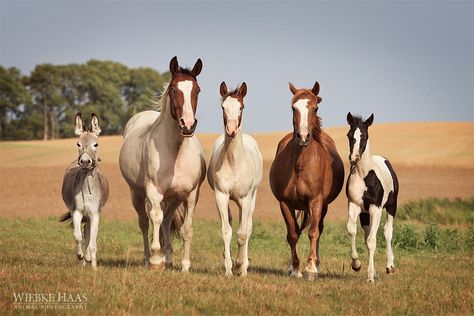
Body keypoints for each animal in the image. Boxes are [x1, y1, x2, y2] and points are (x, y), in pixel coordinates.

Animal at [119, 56, 205, 272]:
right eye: (173, 89)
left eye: (197, 90)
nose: (188, 125)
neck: (176, 152)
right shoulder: (153, 191)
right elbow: (155, 218)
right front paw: (156, 261)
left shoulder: (191, 195)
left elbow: (186, 228)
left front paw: (185, 266)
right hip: (137, 194)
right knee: (145, 221)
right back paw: (148, 258)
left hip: (174, 198)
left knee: (166, 221)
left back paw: (169, 259)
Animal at [207, 82, 262, 276]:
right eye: (223, 107)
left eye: (241, 106)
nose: (231, 131)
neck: (234, 163)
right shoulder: (221, 195)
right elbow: (226, 231)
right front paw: (229, 269)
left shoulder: (245, 198)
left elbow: (243, 233)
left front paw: (239, 266)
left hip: (251, 197)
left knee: (248, 227)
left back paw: (244, 266)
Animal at [270, 82, 344, 280]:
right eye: (293, 108)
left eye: (315, 108)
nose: (303, 137)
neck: (301, 164)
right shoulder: (285, 203)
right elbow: (292, 234)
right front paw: (295, 269)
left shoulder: (316, 202)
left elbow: (313, 232)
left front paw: (311, 269)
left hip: (323, 206)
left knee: (318, 229)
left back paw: (316, 264)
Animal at [346, 113, 398, 284]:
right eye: (349, 135)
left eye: (365, 136)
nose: (354, 157)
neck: (365, 175)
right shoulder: (354, 205)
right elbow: (352, 231)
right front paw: (356, 264)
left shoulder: (376, 209)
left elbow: (372, 241)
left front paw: (370, 277)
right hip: (364, 214)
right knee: (368, 233)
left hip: (391, 207)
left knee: (387, 232)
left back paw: (390, 267)